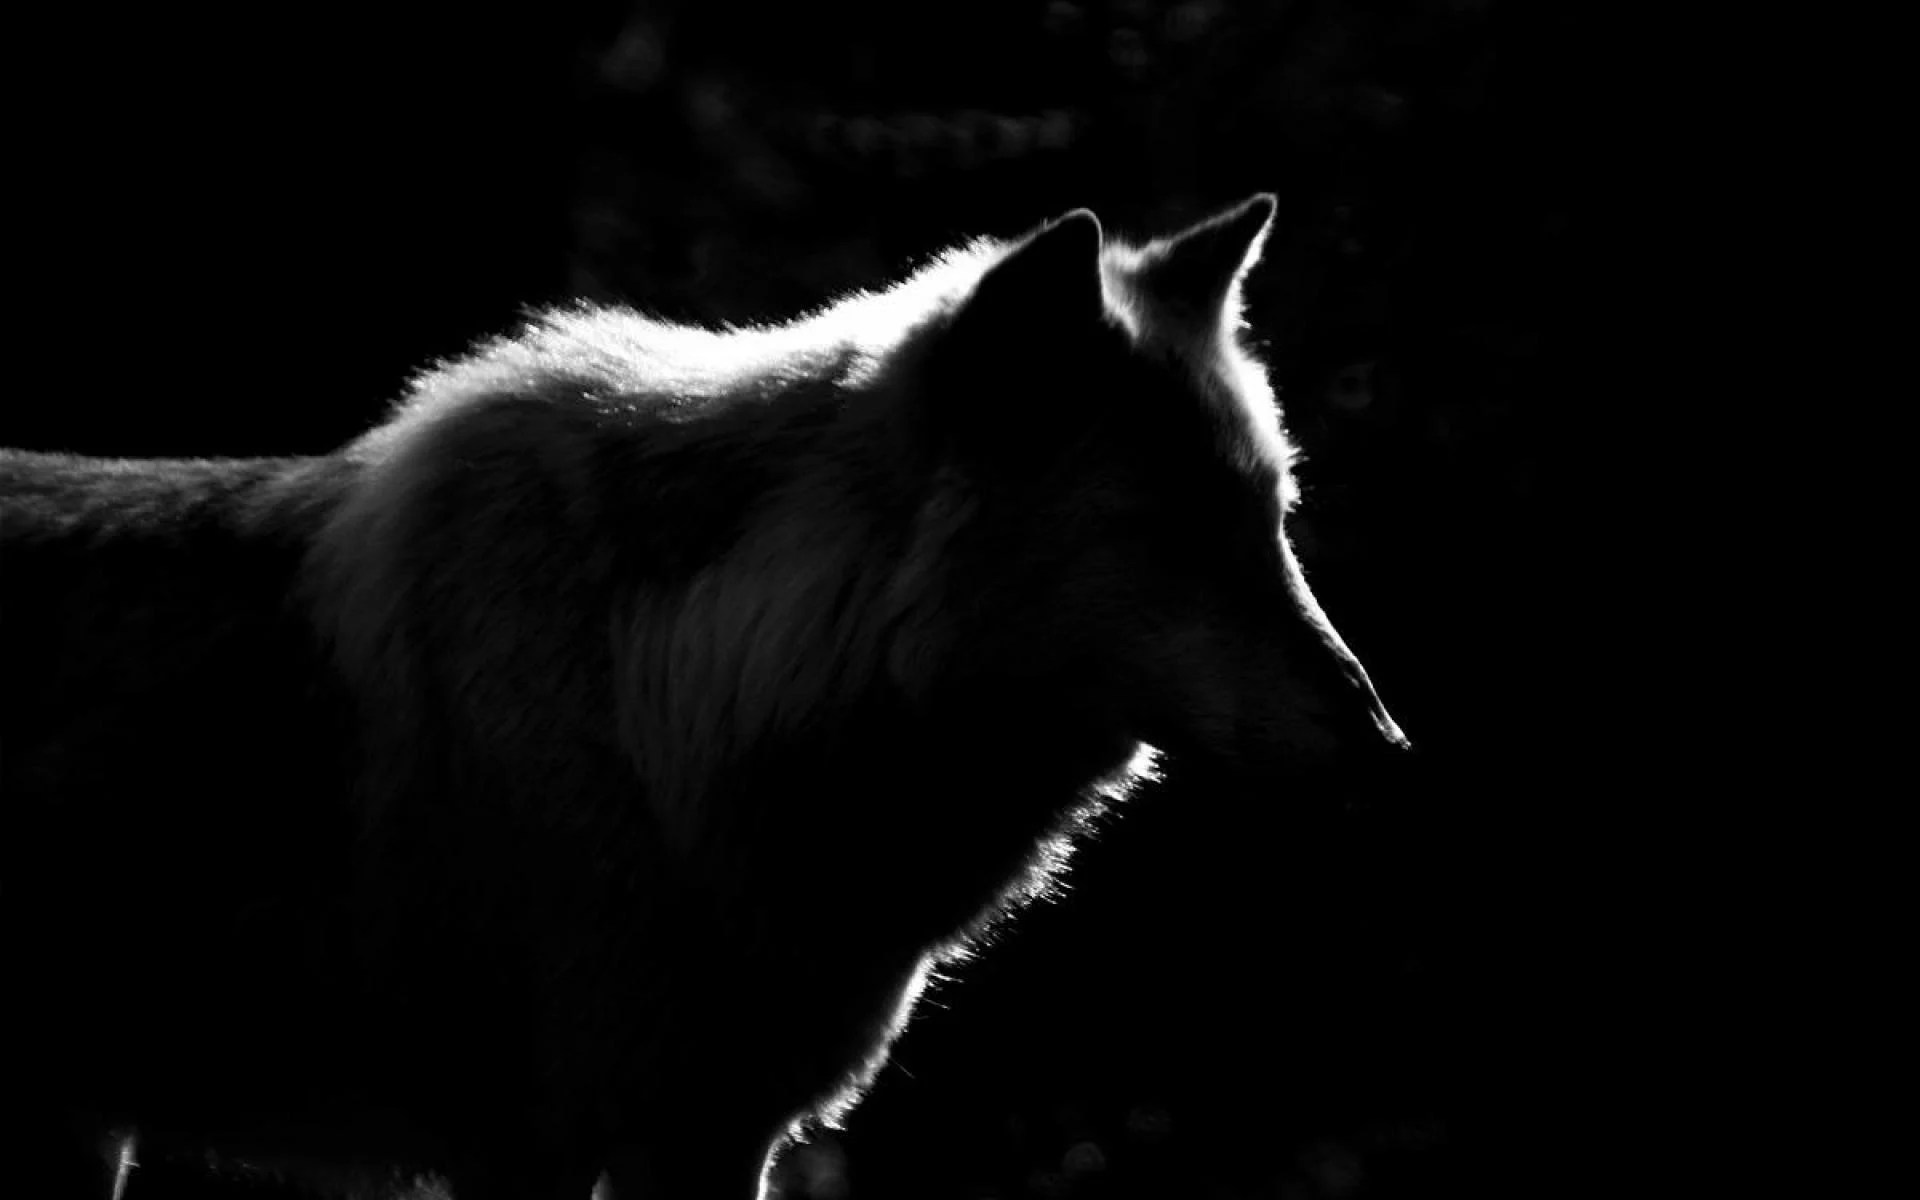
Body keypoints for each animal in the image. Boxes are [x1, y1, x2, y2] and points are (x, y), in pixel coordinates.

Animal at [0, 195, 1407, 1198]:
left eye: (1273, 524)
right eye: (1171, 539)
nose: (1388, 746)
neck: (670, 704)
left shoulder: (726, 1139)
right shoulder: (527, 1144)